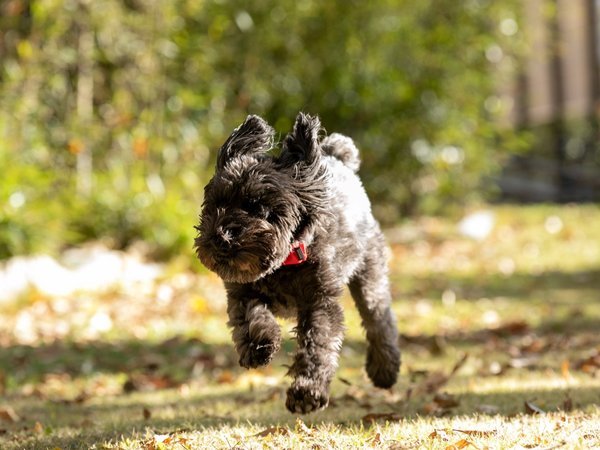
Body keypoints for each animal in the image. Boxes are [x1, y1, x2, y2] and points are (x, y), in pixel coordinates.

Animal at [195, 113, 400, 414]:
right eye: (215, 204)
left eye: (259, 207)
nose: (221, 237)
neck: (284, 263)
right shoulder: (241, 292)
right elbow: (249, 317)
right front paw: (259, 344)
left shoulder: (320, 302)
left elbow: (319, 346)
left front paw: (307, 392)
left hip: (369, 273)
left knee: (379, 320)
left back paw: (384, 370)